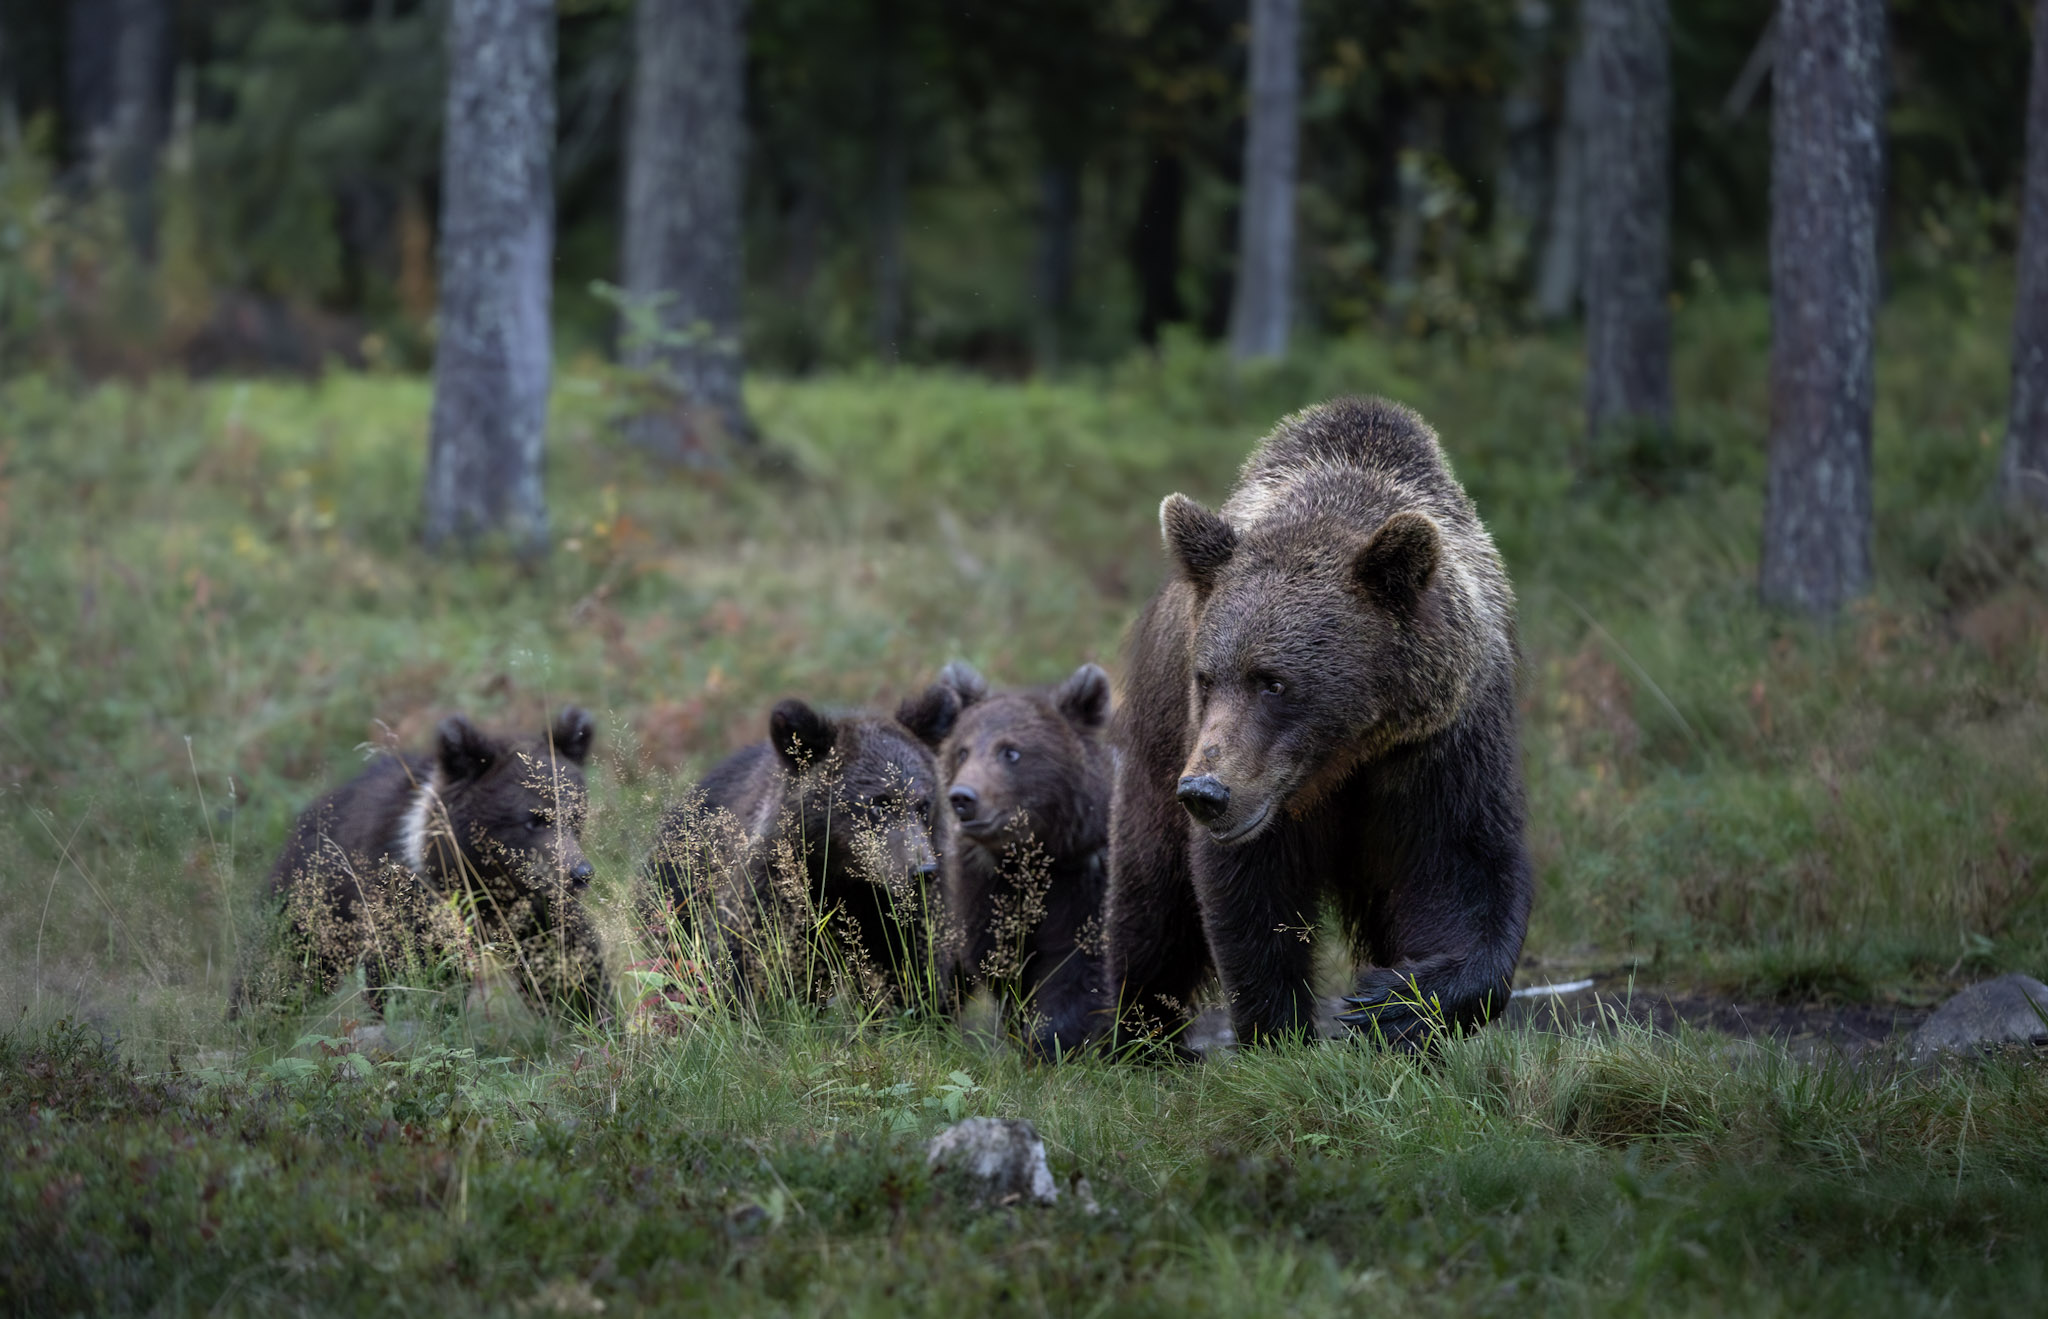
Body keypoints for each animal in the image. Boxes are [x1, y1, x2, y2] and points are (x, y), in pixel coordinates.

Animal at [1105, 399, 1540, 1048]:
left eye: (1274, 682)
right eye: (1206, 677)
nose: (1206, 792)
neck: (1349, 750)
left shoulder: (1444, 743)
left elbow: (1465, 870)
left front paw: (1394, 1003)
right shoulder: (1257, 786)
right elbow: (1251, 897)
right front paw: (1282, 1033)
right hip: (1155, 747)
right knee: (1149, 896)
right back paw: (1135, 1035)